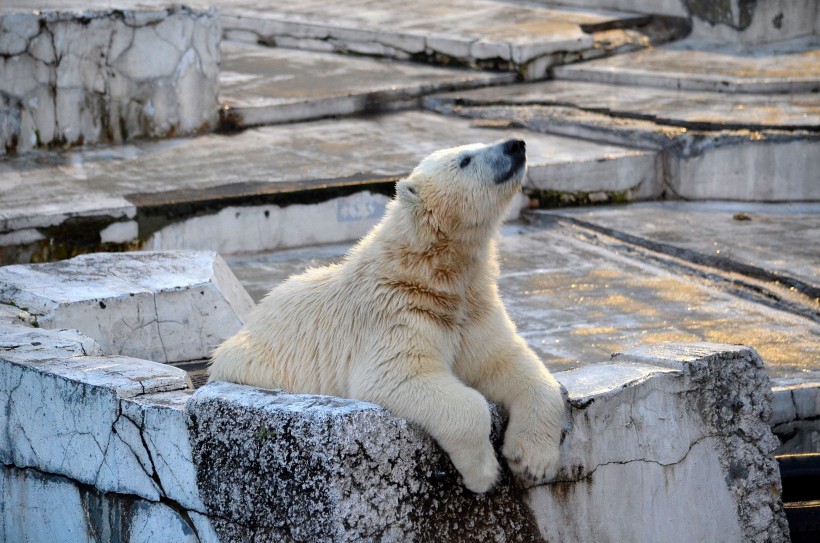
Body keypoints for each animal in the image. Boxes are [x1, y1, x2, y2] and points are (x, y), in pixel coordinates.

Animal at [208, 139, 568, 492]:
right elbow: (400, 377)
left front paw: (533, 462)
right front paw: (484, 473)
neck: (433, 274)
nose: (516, 145)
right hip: (256, 362)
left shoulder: (474, 311)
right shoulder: (395, 313)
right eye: (465, 159)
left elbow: (510, 365)